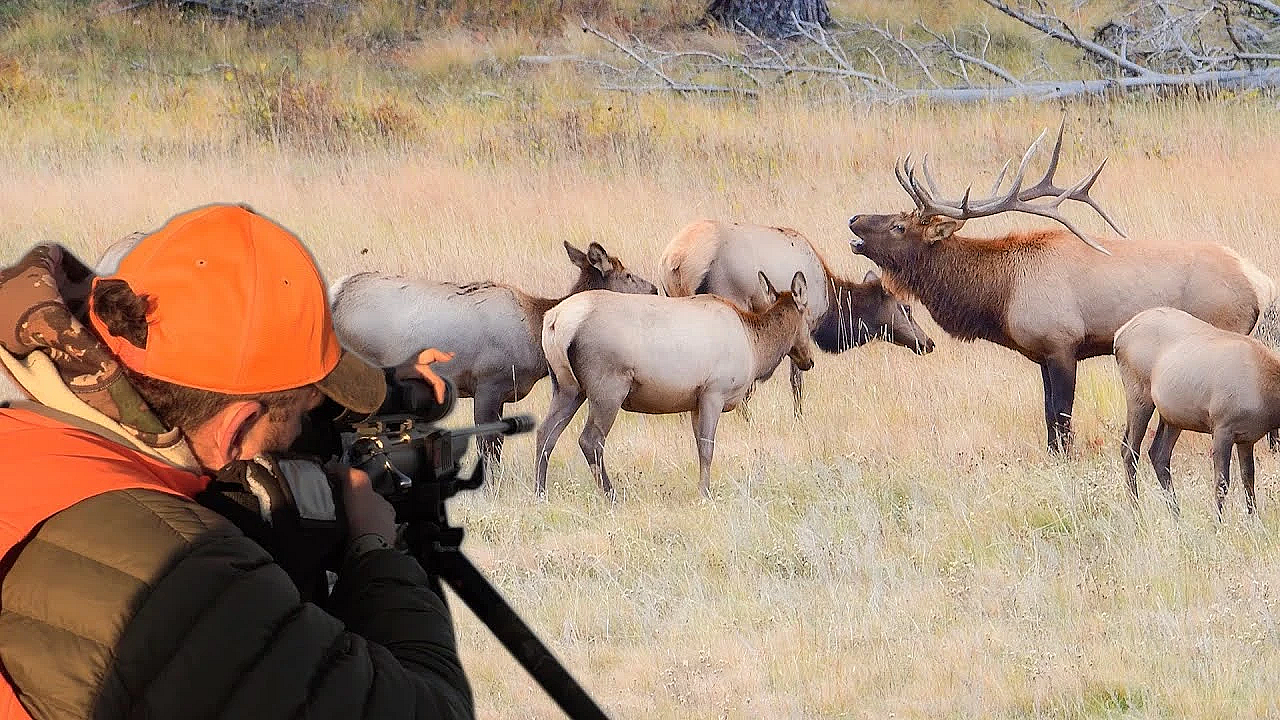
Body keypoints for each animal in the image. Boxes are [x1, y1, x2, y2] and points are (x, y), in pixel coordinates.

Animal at [329, 241, 658, 464]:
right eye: (627, 275)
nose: (655, 289)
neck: (535, 333)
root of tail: (334, 295)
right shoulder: (488, 383)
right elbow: (489, 445)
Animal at [534, 271, 814, 501]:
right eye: (808, 319)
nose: (808, 360)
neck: (755, 347)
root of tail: (554, 322)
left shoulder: (695, 401)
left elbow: (699, 446)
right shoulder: (714, 392)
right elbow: (707, 447)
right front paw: (705, 493)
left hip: (567, 387)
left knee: (545, 433)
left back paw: (540, 493)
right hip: (608, 387)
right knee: (590, 440)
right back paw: (612, 494)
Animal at [658, 219, 934, 417]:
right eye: (907, 308)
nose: (928, 342)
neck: (832, 303)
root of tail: (676, 260)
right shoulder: (802, 323)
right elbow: (796, 380)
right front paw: (798, 417)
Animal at [847, 119, 1276, 456]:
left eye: (898, 226)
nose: (853, 219)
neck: (1001, 294)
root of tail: (1260, 283)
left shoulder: (1062, 345)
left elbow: (1061, 417)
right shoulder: (1040, 355)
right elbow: (1048, 417)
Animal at [1114, 306, 1280, 519]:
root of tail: (1119, 335)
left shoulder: (1246, 438)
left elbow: (1248, 481)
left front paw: (1254, 521)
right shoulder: (1222, 428)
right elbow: (1222, 483)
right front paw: (1218, 522)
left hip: (1173, 417)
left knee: (1158, 454)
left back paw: (1176, 514)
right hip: (1139, 397)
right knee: (1129, 451)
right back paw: (1137, 512)